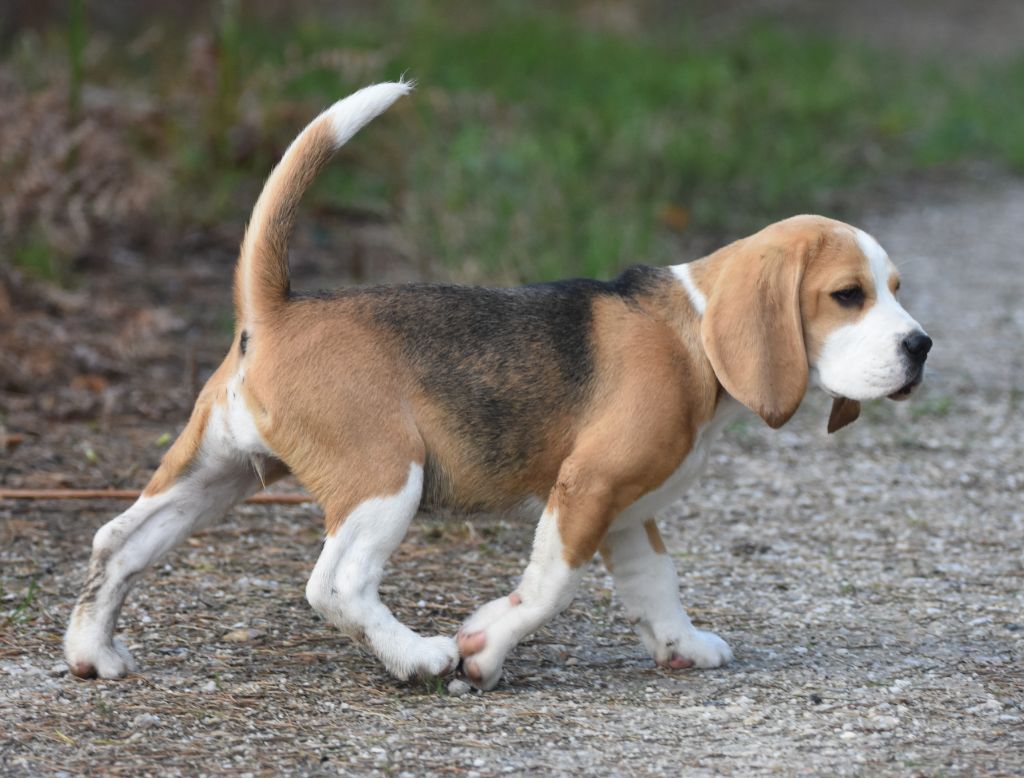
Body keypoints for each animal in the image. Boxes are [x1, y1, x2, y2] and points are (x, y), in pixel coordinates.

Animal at [61, 81, 929, 687]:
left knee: (116, 542)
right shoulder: (587, 489)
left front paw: (682, 644)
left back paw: (92, 651)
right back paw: (416, 657)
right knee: (335, 586)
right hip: (387, 478)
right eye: (847, 295)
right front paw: (484, 647)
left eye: (895, 287)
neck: (691, 327)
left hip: (215, 474)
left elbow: (656, 583)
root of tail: (275, 309)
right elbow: (547, 588)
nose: (920, 346)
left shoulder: (626, 511)